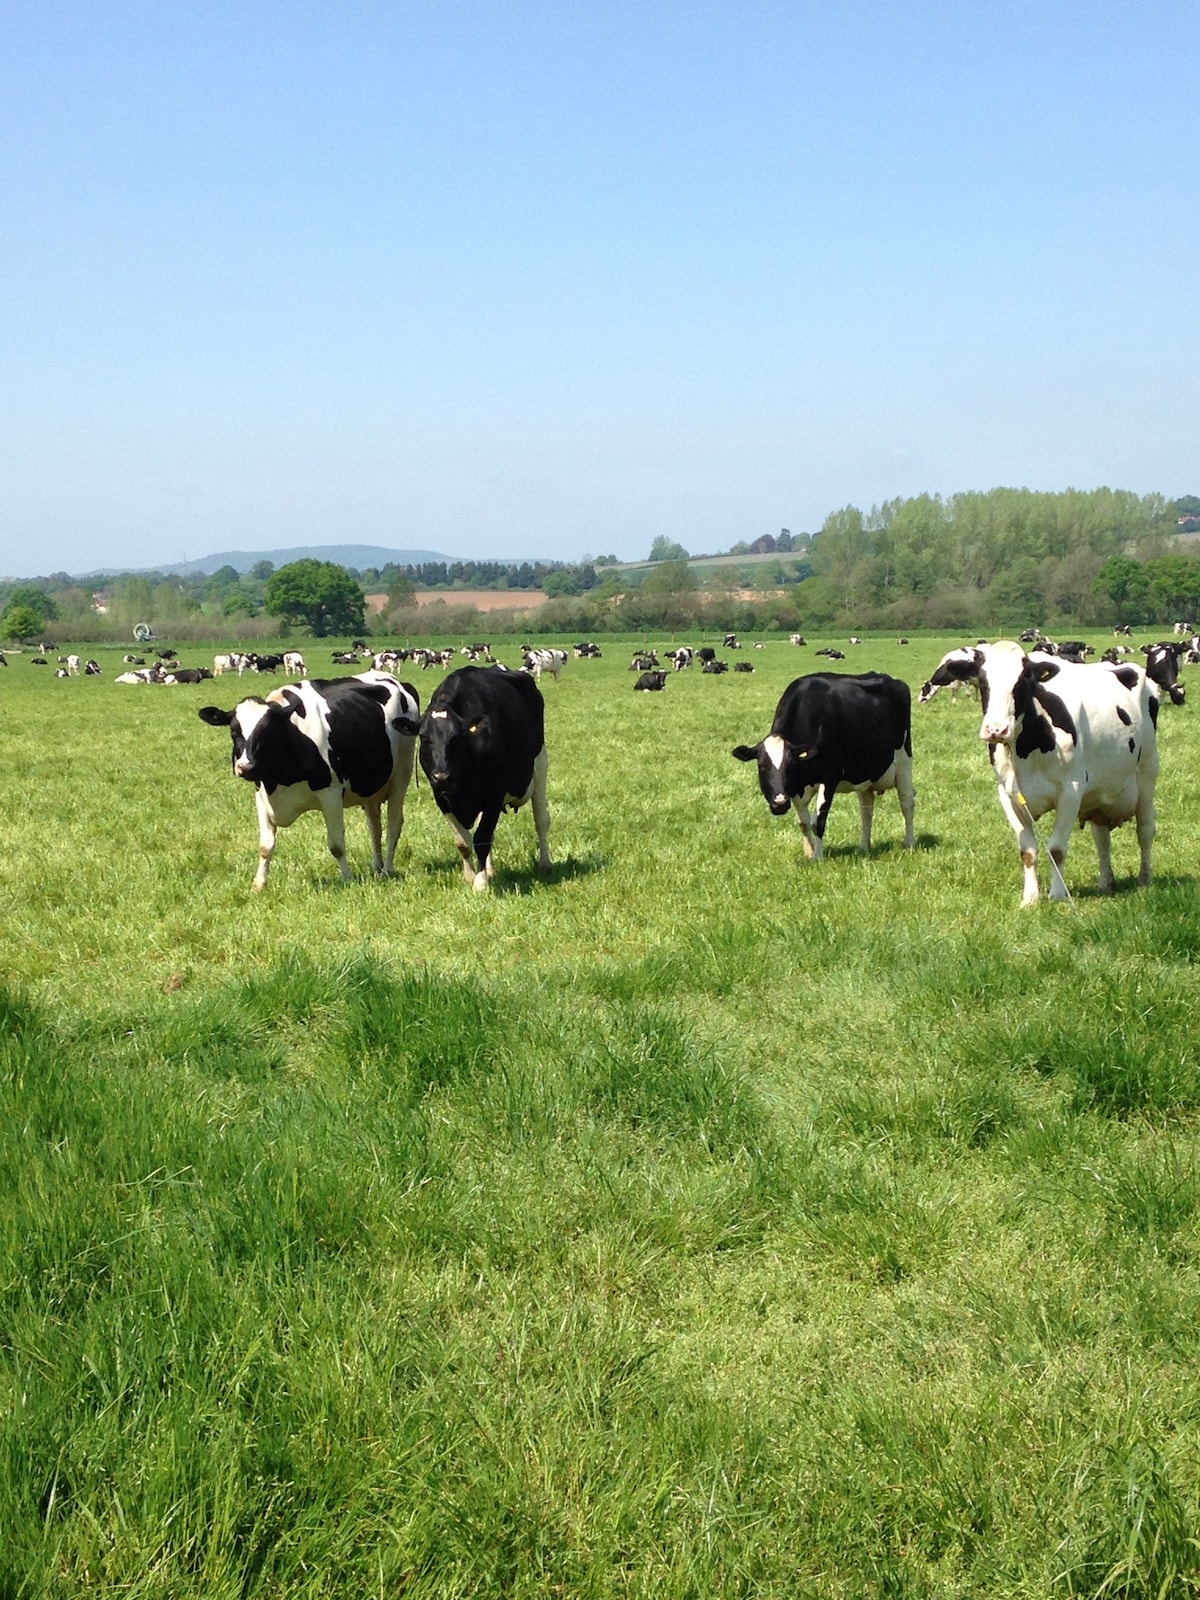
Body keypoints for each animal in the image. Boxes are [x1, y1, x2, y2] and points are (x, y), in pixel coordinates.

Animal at [200, 662, 419, 889]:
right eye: (234, 732)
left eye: (267, 732)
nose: (245, 767)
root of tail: (396, 680)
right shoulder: (261, 795)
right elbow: (265, 846)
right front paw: (258, 885)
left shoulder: (331, 795)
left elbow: (336, 845)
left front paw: (347, 879)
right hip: (369, 787)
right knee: (375, 827)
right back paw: (377, 868)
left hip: (401, 775)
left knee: (394, 824)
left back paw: (387, 869)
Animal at [419, 659, 553, 889]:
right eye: (424, 738)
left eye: (456, 738)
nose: (442, 776)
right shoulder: (442, 798)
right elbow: (463, 841)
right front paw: (471, 876)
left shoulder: (494, 793)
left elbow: (482, 837)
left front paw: (480, 884)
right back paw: (490, 870)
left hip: (539, 764)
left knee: (541, 820)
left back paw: (545, 863)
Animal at [729, 668, 915, 857]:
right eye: (761, 767)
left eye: (790, 766)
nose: (780, 803)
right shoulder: (795, 789)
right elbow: (804, 823)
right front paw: (809, 852)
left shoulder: (830, 776)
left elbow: (817, 822)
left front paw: (818, 857)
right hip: (864, 774)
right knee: (866, 809)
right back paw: (864, 847)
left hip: (904, 762)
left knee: (907, 803)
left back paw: (909, 844)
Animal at [928, 643, 1158, 908]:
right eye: (983, 683)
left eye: (1021, 682)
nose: (996, 730)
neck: (1025, 750)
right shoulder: (1008, 795)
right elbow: (1028, 851)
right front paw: (1030, 898)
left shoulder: (1071, 791)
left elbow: (1056, 849)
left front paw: (1057, 895)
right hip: (1099, 795)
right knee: (1102, 838)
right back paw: (1106, 881)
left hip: (1147, 774)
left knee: (1145, 830)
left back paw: (1145, 878)